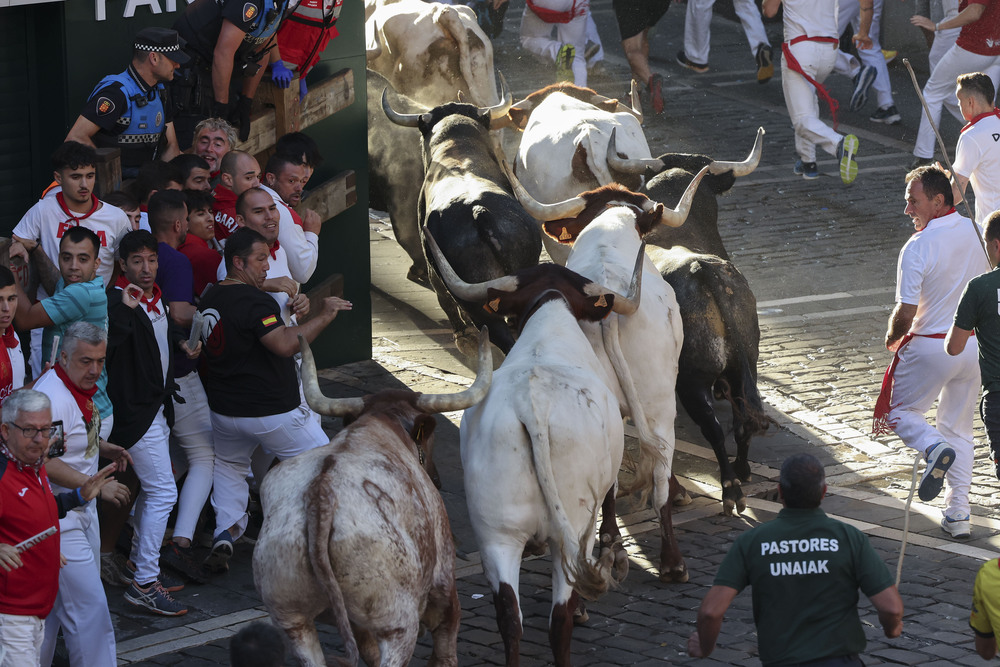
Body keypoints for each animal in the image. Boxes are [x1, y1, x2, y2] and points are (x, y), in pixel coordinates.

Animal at [250, 332, 492, 664]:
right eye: (430, 439)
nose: (438, 479)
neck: (382, 422)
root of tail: (321, 493)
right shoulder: (444, 591)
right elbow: (445, 652)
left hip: (293, 619)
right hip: (398, 625)